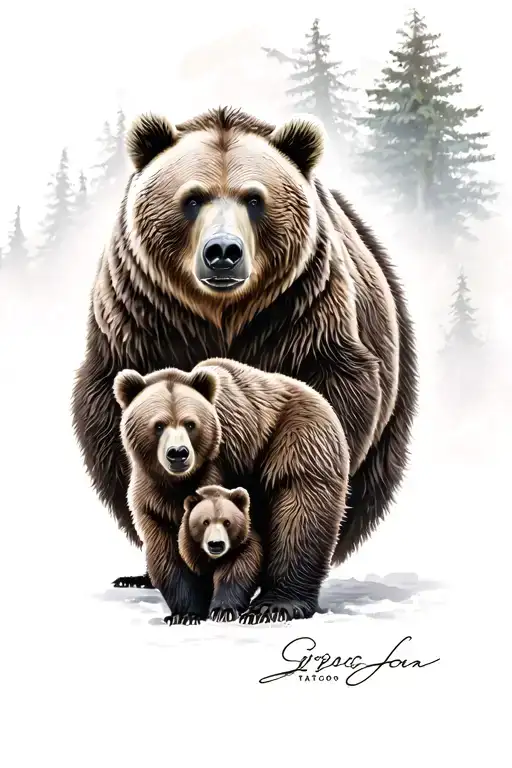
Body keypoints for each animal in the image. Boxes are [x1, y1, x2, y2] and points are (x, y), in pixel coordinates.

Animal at [179, 485, 263, 623]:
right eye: (205, 522)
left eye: (227, 522)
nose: (216, 544)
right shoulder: (194, 556)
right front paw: (190, 614)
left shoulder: (242, 551)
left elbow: (233, 576)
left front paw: (223, 611)